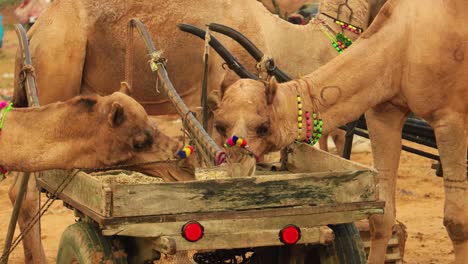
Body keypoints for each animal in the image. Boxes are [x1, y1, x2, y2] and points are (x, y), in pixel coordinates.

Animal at [210, 0, 468, 262]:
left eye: (263, 126)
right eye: (220, 124)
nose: (238, 167)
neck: (405, 41)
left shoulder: (450, 117)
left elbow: (456, 222)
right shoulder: (383, 112)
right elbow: (381, 217)